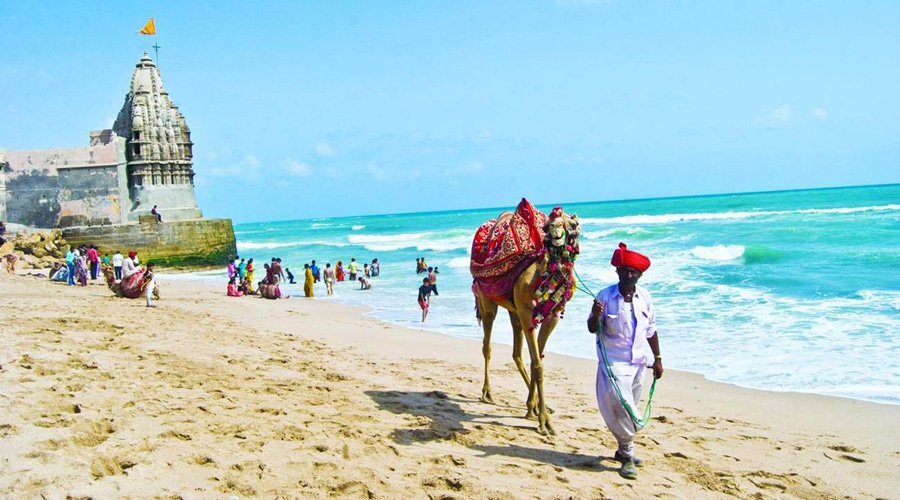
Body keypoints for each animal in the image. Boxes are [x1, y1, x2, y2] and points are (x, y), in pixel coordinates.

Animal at [468, 203, 580, 434]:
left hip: (514, 310)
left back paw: (534, 404)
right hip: (488, 301)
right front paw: (545, 421)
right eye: (546, 226)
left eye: (572, 224)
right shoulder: (527, 312)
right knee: (487, 344)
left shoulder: (552, 315)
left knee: (516, 353)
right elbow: (537, 365)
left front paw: (534, 408)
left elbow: (537, 359)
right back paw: (487, 393)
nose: (554, 233)